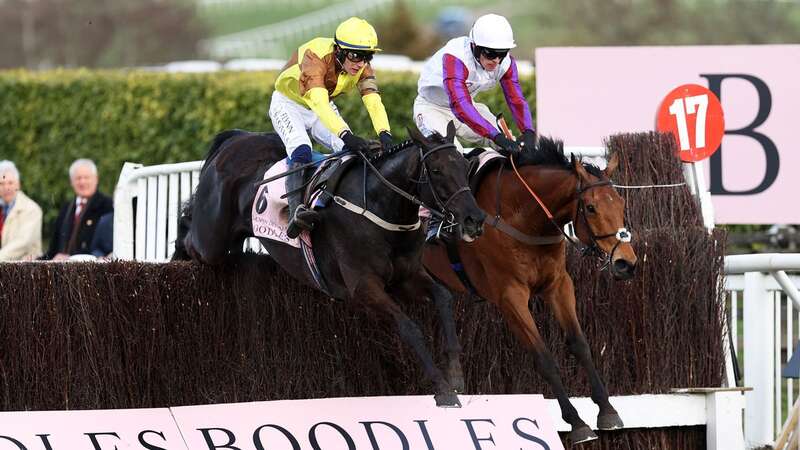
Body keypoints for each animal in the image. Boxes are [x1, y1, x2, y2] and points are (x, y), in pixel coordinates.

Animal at [176, 124, 488, 408]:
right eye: (436, 170)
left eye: (464, 166)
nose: (474, 218)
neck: (380, 206)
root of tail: (237, 138)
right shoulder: (363, 287)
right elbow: (409, 327)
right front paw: (443, 389)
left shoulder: (406, 276)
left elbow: (444, 298)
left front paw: (456, 375)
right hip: (211, 239)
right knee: (188, 229)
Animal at [424, 139, 636, 444]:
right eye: (590, 207)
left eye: (620, 203)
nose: (625, 263)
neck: (521, 216)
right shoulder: (510, 297)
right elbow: (544, 357)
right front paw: (576, 422)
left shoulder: (558, 284)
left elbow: (580, 344)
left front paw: (607, 410)